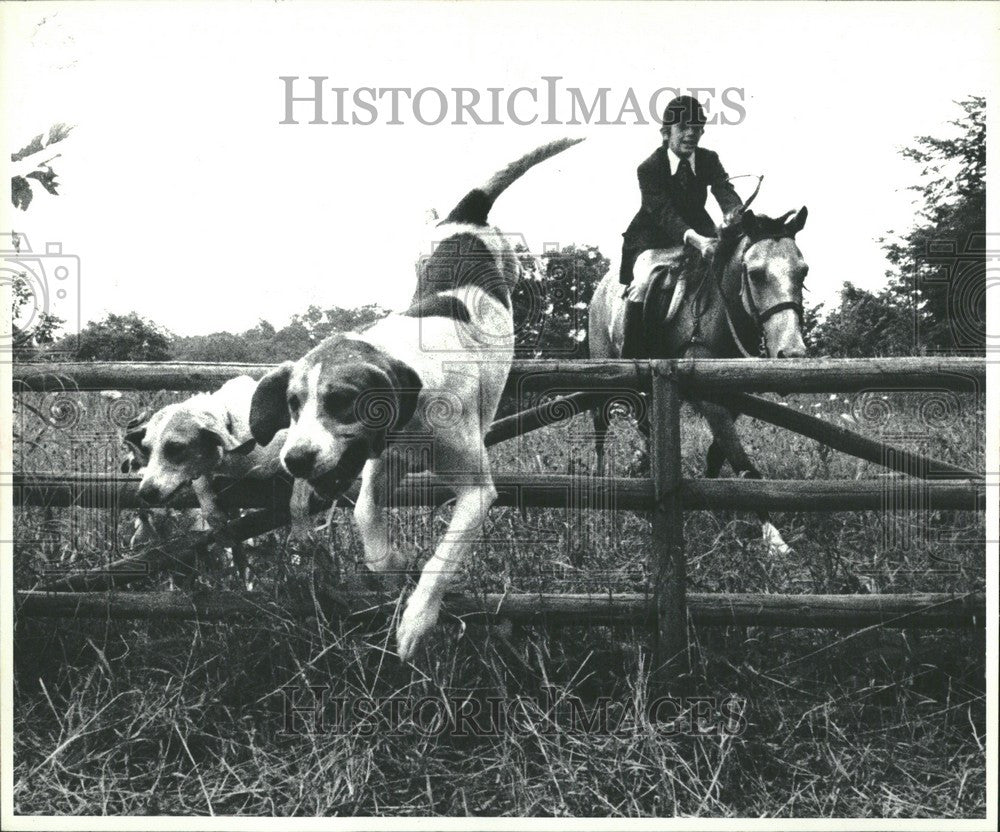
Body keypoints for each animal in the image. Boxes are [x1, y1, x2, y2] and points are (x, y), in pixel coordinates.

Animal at [588, 206, 808, 560]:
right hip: (604, 378)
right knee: (600, 428)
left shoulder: (732, 398)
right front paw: (774, 540)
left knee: (648, 428)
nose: (791, 353)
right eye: (756, 274)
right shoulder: (709, 399)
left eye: (803, 272)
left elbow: (719, 454)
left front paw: (710, 505)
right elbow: (744, 465)